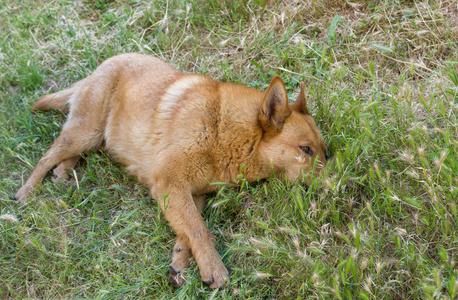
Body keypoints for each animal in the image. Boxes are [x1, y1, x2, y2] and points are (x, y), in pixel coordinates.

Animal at [16, 53, 328, 288]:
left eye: (324, 151)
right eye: (306, 149)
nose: (333, 185)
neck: (224, 130)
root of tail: (98, 69)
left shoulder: (192, 193)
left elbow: (188, 232)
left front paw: (180, 262)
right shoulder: (169, 183)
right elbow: (200, 230)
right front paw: (214, 268)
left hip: (93, 139)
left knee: (70, 155)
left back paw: (63, 172)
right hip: (85, 132)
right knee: (47, 155)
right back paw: (26, 191)